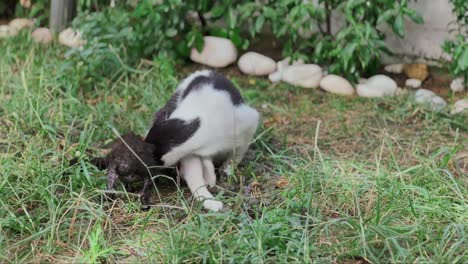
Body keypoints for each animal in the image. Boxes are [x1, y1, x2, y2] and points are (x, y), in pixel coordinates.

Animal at [144, 69, 258, 210]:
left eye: (155, 158)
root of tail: (208, 71)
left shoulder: (249, 124)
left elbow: (236, 155)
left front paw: (227, 168)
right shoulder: (190, 153)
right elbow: (196, 176)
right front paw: (210, 196)